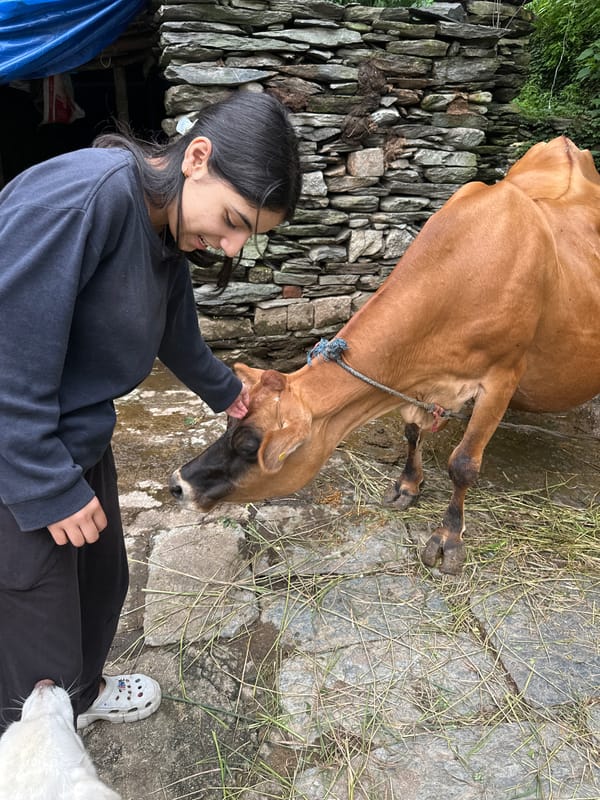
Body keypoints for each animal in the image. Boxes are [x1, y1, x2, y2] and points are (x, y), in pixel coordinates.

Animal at [170, 136, 600, 575]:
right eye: (228, 424)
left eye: (248, 445)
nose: (178, 484)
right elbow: (411, 431)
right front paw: (407, 485)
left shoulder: (503, 376)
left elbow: (464, 464)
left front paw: (448, 537)